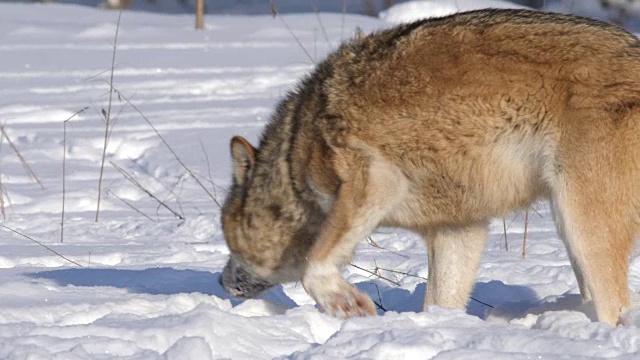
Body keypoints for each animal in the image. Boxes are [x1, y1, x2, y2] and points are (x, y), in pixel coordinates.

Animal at [220, 9, 640, 326]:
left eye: (228, 239)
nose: (221, 281)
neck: (295, 150)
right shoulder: (458, 230)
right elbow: (440, 302)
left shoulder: (375, 181)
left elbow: (313, 266)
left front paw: (348, 304)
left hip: (581, 225)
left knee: (615, 306)